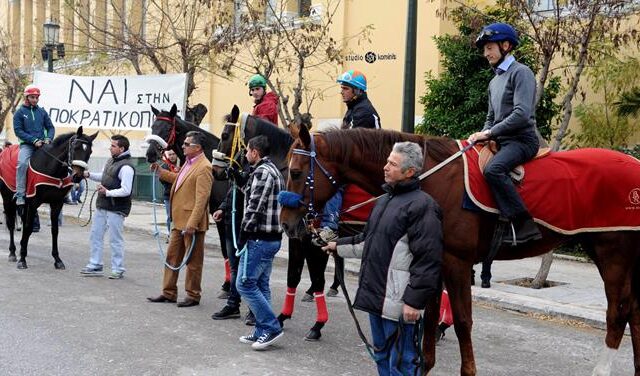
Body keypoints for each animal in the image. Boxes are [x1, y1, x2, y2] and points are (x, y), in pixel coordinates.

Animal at [0, 128, 97, 268]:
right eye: (76, 147)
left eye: (89, 151)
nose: (78, 176)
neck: (50, 167)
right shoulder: (33, 203)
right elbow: (28, 228)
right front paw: (22, 259)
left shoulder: (56, 203)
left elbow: (54, 230)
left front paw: (57, 259)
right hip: (8, 199)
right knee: (11, 224)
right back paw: (13, 252)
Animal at [218, 106, 340, 340]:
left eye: (225, 135)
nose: (216, 170)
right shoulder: (296, 236)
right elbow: (293, 275)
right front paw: (282, 317)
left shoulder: (311, 241)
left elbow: (317, 278)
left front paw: (318, 325)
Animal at [282, 126, 640, 376]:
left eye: (296, 172)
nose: (286, 224)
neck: (430, 178)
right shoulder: (432, 263)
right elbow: (426, 319)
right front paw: (423, 365)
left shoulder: (456, 263)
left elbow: (463, 321)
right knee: (634, 311)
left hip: (613, 252)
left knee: (618, 313)